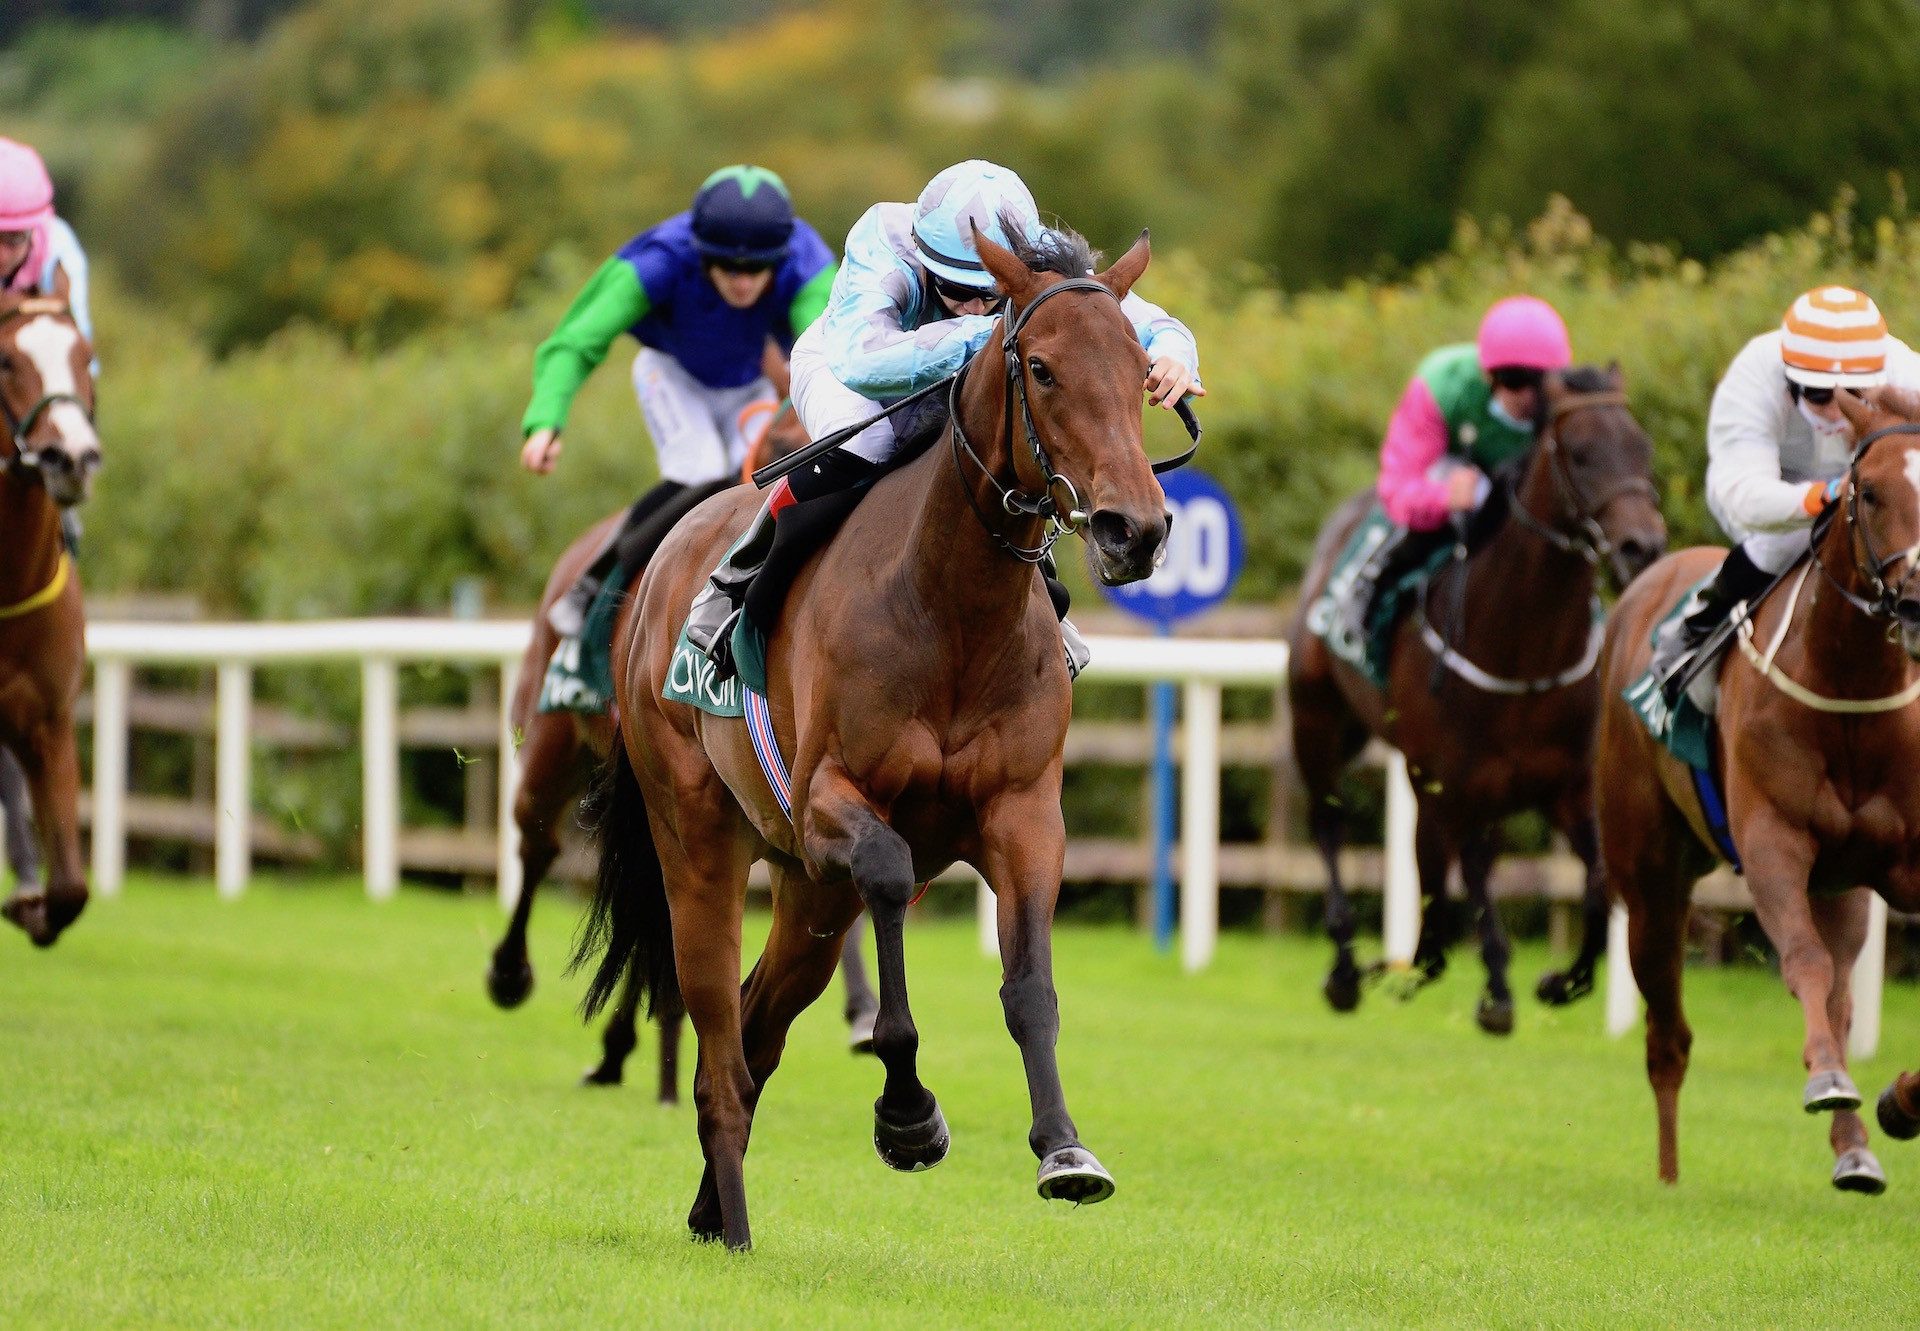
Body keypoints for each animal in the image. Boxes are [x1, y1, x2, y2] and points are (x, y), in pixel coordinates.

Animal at [568, 225, 1167, 1244]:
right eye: (1042, 369)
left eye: (1137, 371)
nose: (1139, 528)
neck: (952, 610)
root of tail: (659, 565)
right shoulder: (830, 805)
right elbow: (889, 880)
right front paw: (907, 1112)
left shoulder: (1023, 815)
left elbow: (1030, 986)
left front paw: (1064, 1149)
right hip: (702, 838)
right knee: (718, 1032)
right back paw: (733, 1224)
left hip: (810, 895)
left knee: (755, 1026)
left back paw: (709, 1207)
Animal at [1290, 368, 1666, 1029]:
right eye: (1579, 453)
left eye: (1642, 446)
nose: (1641, 547)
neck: (1524, 653)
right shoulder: (1457, 780)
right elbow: (1471, 878)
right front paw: (1494, 988)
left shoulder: (1568, 789)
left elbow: (1597, 886)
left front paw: (1563, 980)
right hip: (1317, 720)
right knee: (1330, 821)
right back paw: (1348, 967)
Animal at [1597, 386, 1920, 1190]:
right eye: (1871, 492)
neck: (1851, 687)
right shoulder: (1774, 840)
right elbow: (1800, 960)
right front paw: (1833, 1081)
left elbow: (1829, 985)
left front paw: (1898, 1102)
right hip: (1650, 880)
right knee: (1669, 1033)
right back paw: (1670, 1174)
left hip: (1843, 888)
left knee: (1837, 995)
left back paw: (1854, 1149)